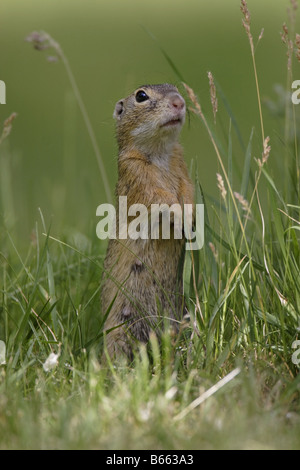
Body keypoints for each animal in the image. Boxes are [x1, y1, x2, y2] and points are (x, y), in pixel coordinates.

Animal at [101, 82, 195, 360]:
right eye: (141, 96)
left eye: (175, 87)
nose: (179, 102)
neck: (160, 151)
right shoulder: (135, 172)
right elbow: (159, 196)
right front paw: (180, 218)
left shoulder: (181, 164)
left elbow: (187, 188)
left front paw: (191, 219)